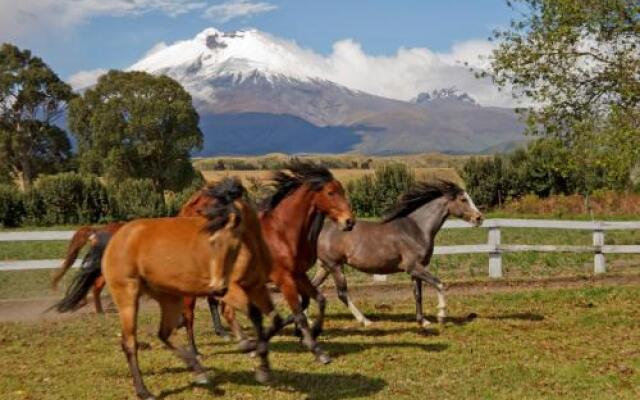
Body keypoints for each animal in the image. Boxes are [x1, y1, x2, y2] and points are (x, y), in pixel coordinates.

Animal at [50, 179, 280, 400]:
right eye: (213, 242)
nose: (216, 286)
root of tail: (112, 237)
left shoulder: (257, 288)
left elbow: (272, 318)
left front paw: (263, 366)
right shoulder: (231, 291)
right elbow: (253, 314)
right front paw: (250, 349)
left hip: (170, 298)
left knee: (163, 333)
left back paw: (199, 371)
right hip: (128, 298)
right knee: (130, 343)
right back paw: (145, 391)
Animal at [185, 160, 356, 366]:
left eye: (342, 191)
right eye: (331, 193)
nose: (349, 222)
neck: (282, 233)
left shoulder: (298, 274)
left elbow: (319, 300)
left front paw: (311, 332)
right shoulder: (284, 278)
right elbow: (299, 312)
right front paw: (317, 350)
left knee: (226, 310)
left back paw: (246, 345)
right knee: (189, 315)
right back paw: (195, 352)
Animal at [312, 181, 482, 328]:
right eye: (463, 199)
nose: (479, 218)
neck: (417, 229)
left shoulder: (417, 270)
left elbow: (418, 294)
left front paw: (423, 321)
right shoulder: (413, 267)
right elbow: (440, 284)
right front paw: (441, 316)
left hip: (325, 267)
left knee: (312, 287)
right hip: (335, 266)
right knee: (342, 293)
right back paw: (366, 321)